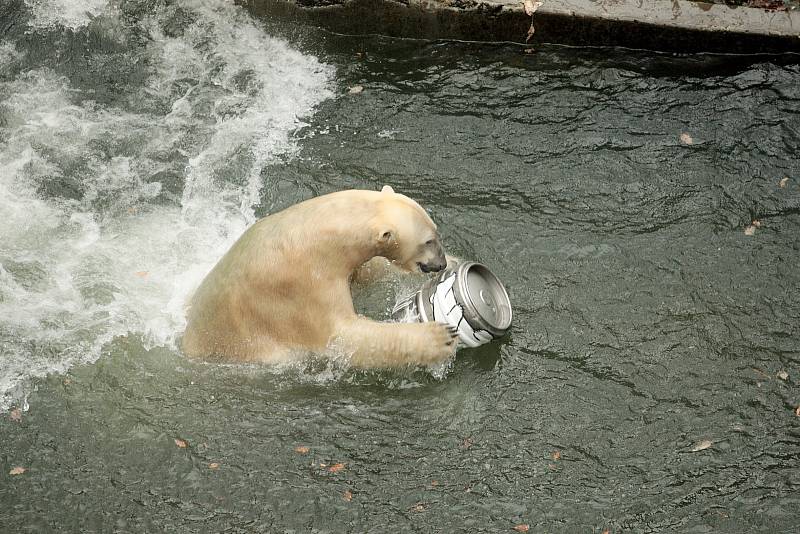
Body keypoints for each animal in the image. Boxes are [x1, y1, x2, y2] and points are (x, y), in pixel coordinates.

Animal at [182, 187, 456, 368]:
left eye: (437, 233)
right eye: (428, 241)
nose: (440, 263)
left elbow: (369, 271)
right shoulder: (304, 285)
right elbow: (342, 337)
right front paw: (440, 337)